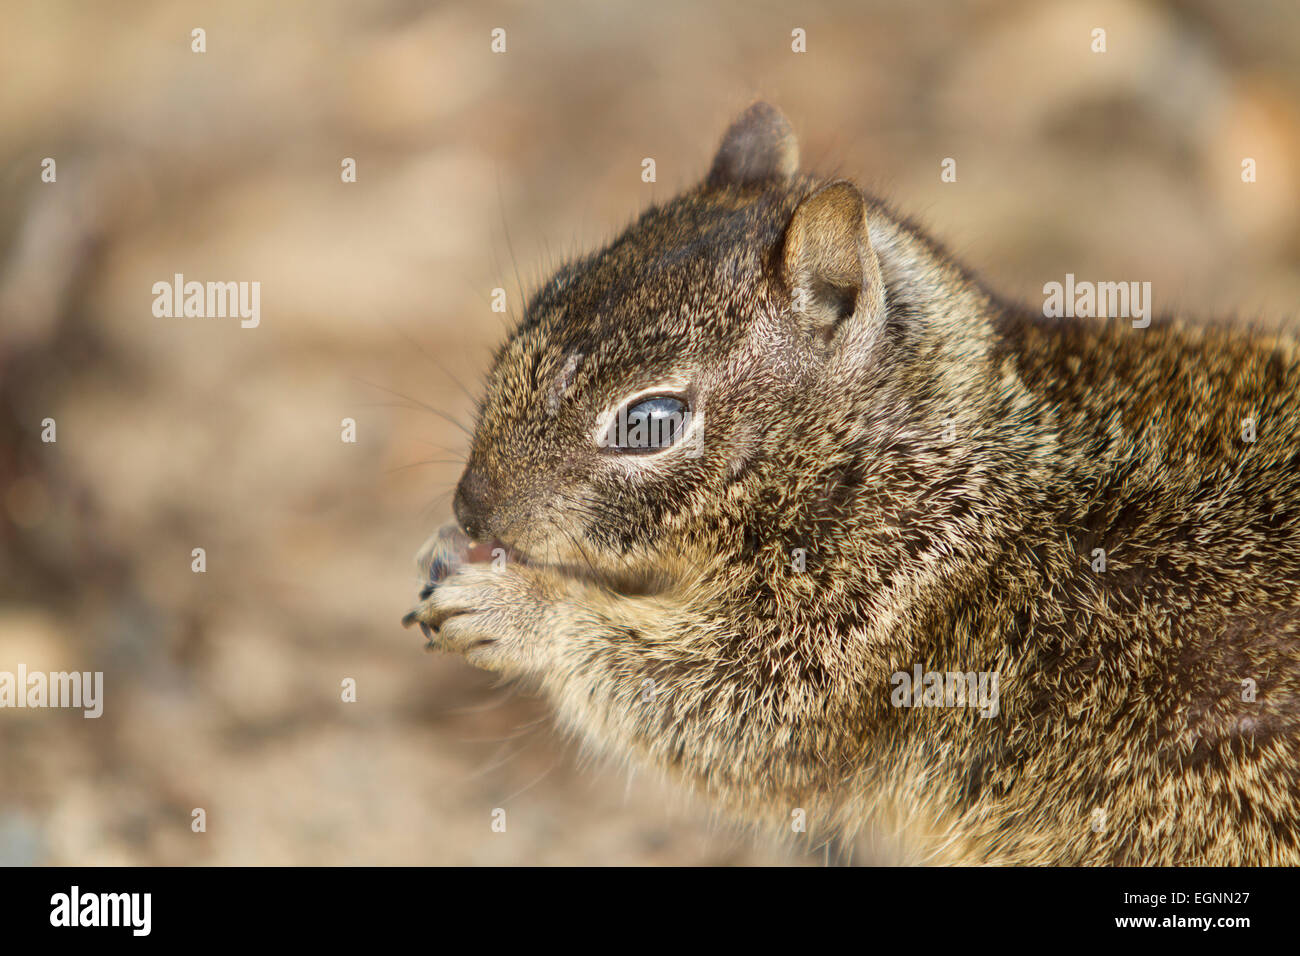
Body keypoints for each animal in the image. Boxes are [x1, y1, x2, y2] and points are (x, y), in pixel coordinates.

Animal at [400, 100, 1294, 863]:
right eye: (540, 303)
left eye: (650, 420)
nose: (470, 507)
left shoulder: (871, 620)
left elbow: (717, 714)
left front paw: (515, 609)